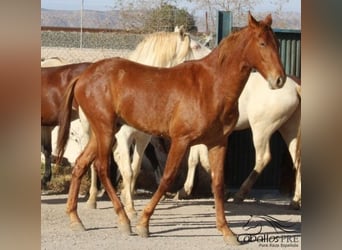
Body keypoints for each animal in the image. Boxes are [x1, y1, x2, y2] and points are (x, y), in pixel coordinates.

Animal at [56, 12, 286, 245]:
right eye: (262, 43)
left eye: (277, 43)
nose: (279, 79)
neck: (211, 85)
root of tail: (83, 76)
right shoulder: (181, 140)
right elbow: (167, 178)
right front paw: (143, 223)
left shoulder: (218, 142)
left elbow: (218, 184)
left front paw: (226, 231)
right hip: (106, 130)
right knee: (102, 168)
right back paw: (123, 219)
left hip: (103, 131)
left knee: (80, 164)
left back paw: (75, 219)